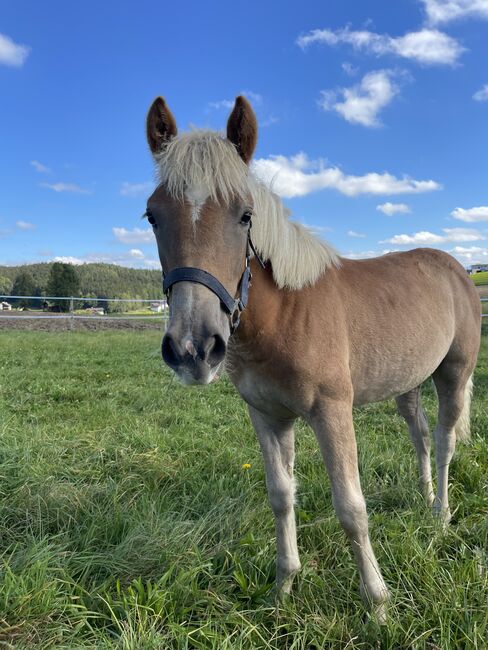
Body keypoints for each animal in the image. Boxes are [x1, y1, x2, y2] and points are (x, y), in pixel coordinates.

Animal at [143, 95, 482, 616]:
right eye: (152, 216)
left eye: (245, 215)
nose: (194, 348)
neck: (285, 314)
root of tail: (457, 269)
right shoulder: (267, 415)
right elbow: (281, 495)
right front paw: (284, 585)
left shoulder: (331, 411)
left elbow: (351, 507)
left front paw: (378, 604)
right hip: (407, 382)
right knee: (422, 438)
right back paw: (425, 500)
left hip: (454, 374)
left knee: (445, 441)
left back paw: (441, 516)